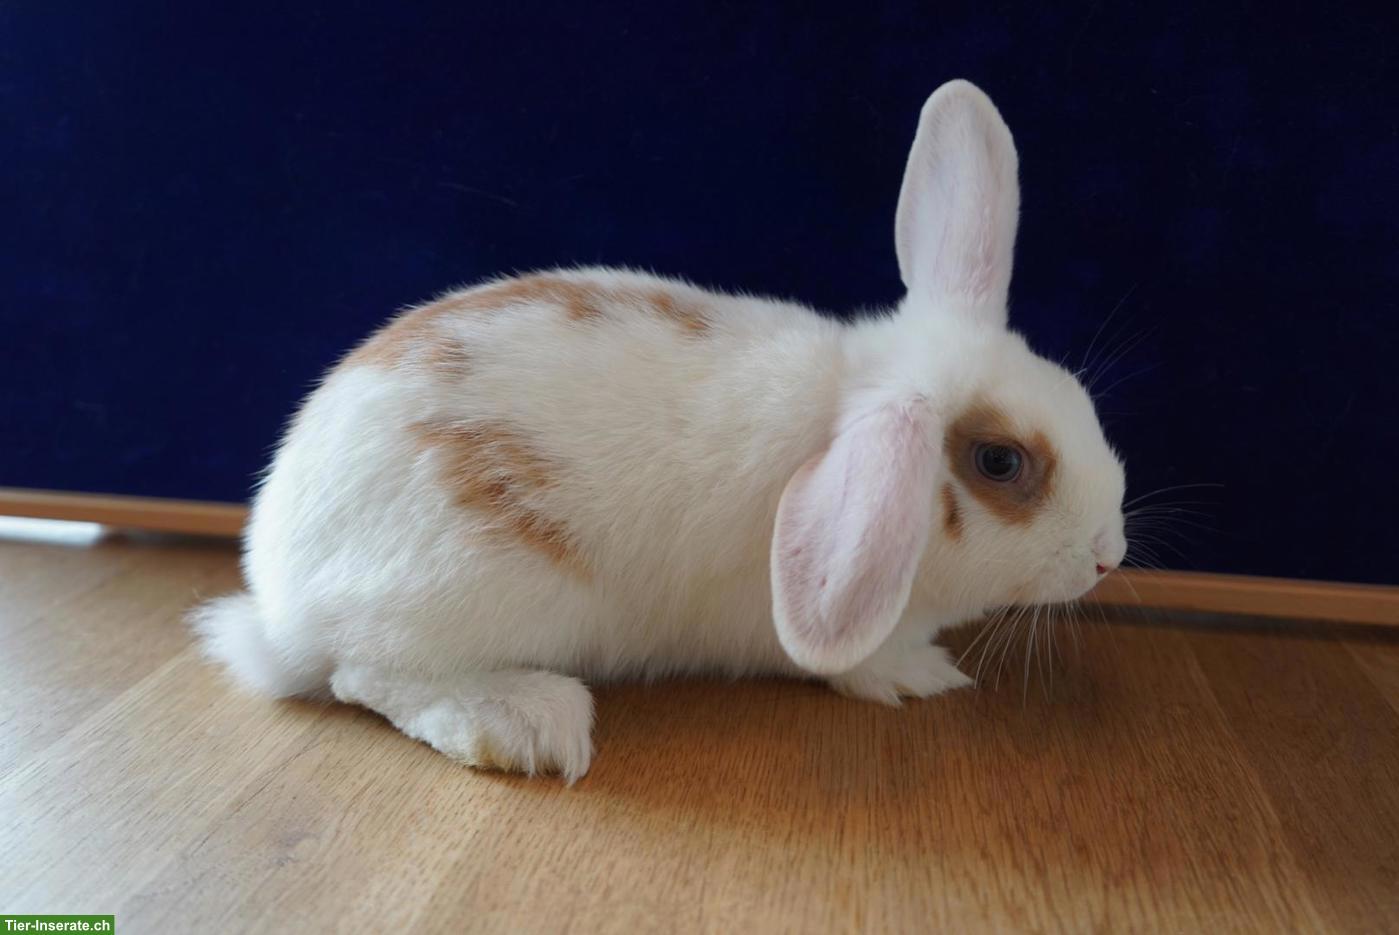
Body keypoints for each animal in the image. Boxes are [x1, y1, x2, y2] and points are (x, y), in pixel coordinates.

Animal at [191, 79, 1127, 783]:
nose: (1108, 554)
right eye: (999, 462)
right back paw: (526, 721)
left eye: (1075, 393)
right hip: (477, 586)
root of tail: (278, 601)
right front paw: (914, 675)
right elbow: (850, 660)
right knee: (364, 674)